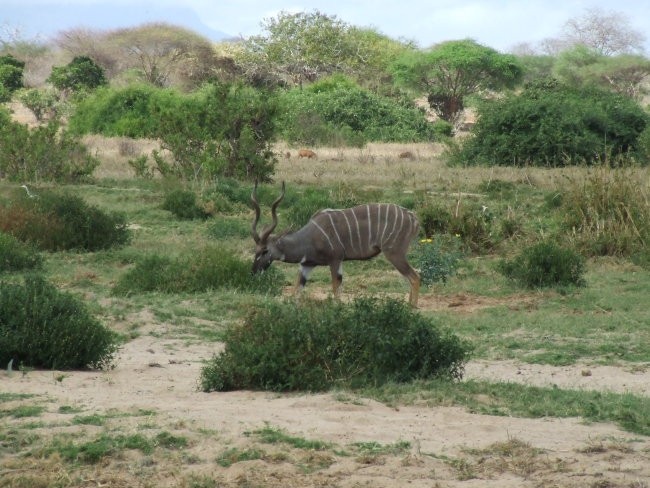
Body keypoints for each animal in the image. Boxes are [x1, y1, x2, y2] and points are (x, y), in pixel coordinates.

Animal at [248, 181, 420, 306]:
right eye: (255, 250)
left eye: (265, 250)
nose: (254, 271)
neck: (309, 238)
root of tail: (413, 217)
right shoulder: (307, 265)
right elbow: (296, 290)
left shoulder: (336, 260)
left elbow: (336, 290)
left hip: (394, 253)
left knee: (414, 277)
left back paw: (412, 307)